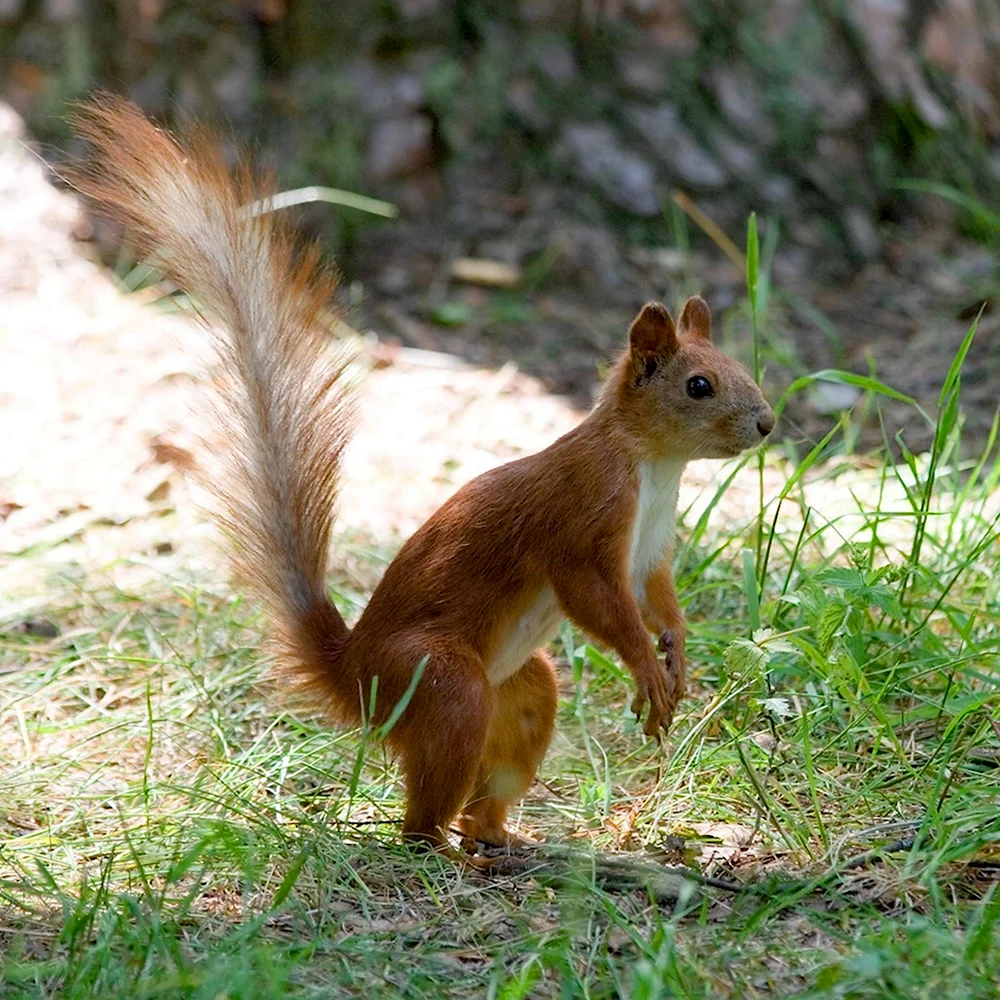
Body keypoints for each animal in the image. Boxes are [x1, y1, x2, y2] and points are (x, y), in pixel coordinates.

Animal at [74, 95, 776, 852]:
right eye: (700, 386)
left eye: (738, 366)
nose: (767, 423)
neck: (654, 466)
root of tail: (356, 681)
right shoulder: (584, 516)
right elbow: (599, 600)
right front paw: (646, 667)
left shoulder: (647, 549)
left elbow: (656, 595)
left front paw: (677, 654)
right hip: (442, 681)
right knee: (423, 807)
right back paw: (439, 848)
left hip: (520, 690)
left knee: (498, 766)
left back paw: (499, 841)